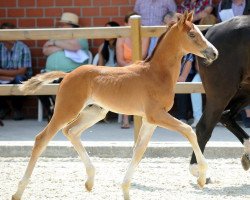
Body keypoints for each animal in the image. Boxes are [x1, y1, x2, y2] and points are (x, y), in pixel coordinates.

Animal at [13, 12, 217, 200]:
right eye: (192, 34)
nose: (214, 53)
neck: (157, 74)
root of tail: (68, 74)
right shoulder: (156, 115)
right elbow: (188, 131)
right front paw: (201, 177)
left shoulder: (150, 120)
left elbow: (139, 150)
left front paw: (125, 190)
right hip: (66, 109)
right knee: (42, 138)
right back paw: (18, 191)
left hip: (95, 112)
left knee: (71, 131)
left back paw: (90, 181)